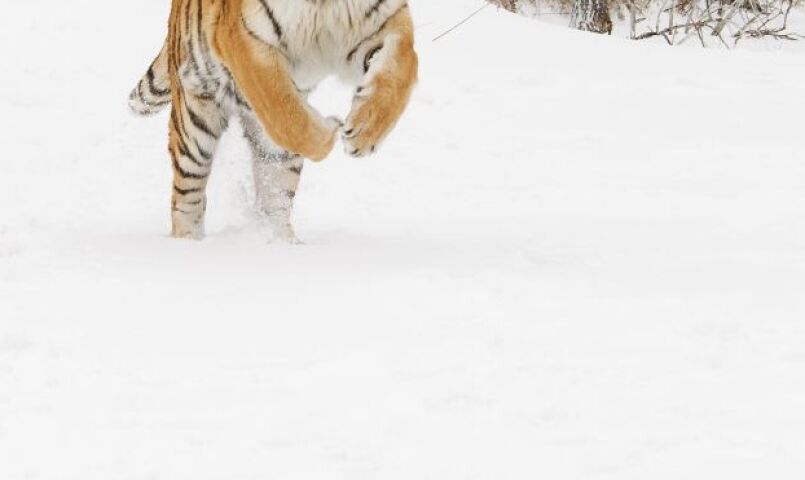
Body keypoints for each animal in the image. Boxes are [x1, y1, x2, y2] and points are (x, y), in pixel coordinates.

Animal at [129, 0, 418, 241]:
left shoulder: (386, 20)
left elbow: (399, 73)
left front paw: (364, 135)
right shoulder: (246, 38)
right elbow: (283, 110)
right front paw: (330, 130)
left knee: (274, 199)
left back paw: (281, 243)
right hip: (195, 120)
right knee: (186, 196)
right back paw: (189, 243)